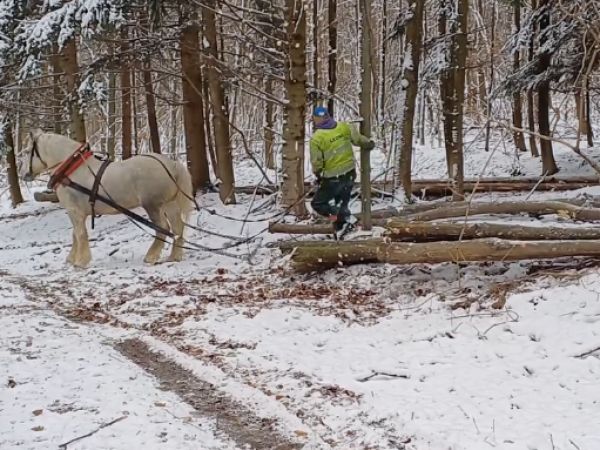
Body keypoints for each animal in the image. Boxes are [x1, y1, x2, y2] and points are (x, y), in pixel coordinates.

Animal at [21, 127, 193, 268]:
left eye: (28, 151)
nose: (24, 175)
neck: (71, 171)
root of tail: (171, 164)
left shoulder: (74, 211)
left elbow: (80, 234)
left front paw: (80, 262)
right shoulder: (77, 213)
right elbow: (75, 234)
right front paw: (71, 259)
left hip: (152, 205)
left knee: (163, 228)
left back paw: (151, 256)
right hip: (169, 204)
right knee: (178, 228)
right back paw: (174, 256)